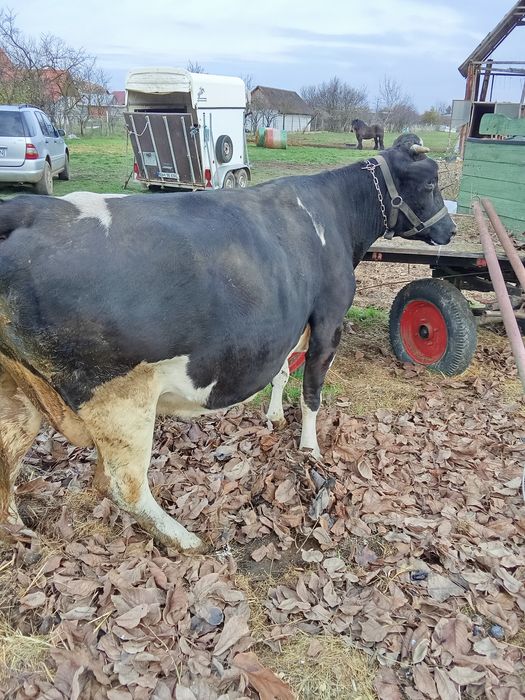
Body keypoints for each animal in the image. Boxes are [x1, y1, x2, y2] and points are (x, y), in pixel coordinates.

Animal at [0, 136, 455, 553]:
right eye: (431, 183)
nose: (450, 229)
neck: (335, 214)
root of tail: (28, 210)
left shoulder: (289, 323)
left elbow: (283, 371)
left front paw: (273, 416)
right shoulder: (328, 319)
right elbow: (312, 391)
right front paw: (309, 447)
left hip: (15, 392)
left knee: (8, 458)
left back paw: (18, 528)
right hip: (120, 399)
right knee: (122, 487)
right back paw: (186, 540)